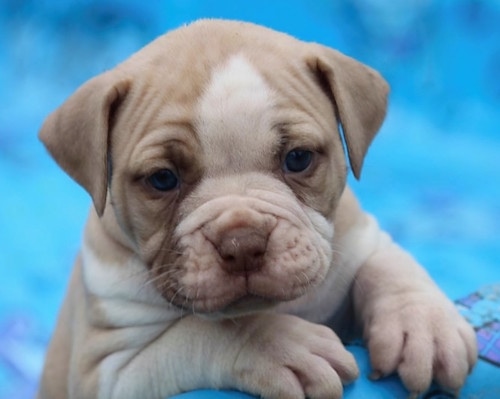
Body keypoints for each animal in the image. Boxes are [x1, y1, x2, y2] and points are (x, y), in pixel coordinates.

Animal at [38, 19, 476, 399]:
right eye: (162, 179)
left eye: (298, 158)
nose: (243, 242)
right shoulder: (112, 371)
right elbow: (207, 331)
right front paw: (279, 344)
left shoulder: (360, 239)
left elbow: (386, 266)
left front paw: (422, 325)